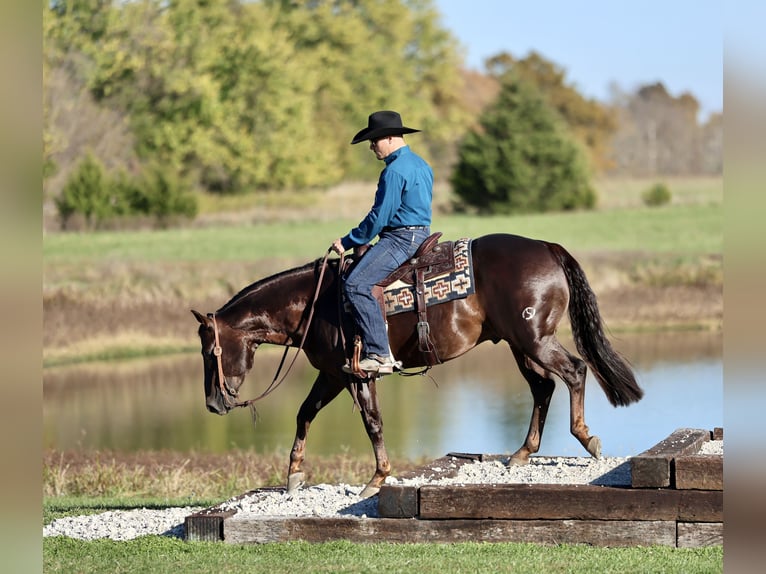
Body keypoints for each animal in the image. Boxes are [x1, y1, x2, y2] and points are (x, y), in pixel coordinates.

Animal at [192, 233, 643, 498]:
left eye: (208, 351)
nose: (213, 404)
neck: (314, 303)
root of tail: (546, 246)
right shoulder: (333, 374)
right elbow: (305, 413)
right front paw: (294, 475)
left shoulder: (358, 374)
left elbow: (372, 423)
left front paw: (376, 479)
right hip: (520, 344)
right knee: (543, 387)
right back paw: (521, 453)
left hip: (534, 339)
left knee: (574, 371)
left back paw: (585, 438)